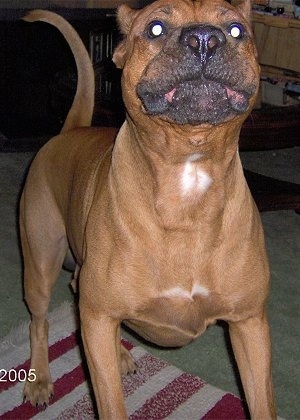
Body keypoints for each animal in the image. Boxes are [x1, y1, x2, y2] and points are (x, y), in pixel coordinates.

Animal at [20, 1, 276, 418]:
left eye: (237, 30)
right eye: (155, 28)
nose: (204, 39)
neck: (187, 172)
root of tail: (70, 131)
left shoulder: (249, 324)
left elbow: (261, 403)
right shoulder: (99, 314)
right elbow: (110, 402)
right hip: (40, 266)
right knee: (39, 322)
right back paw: (41, 378)